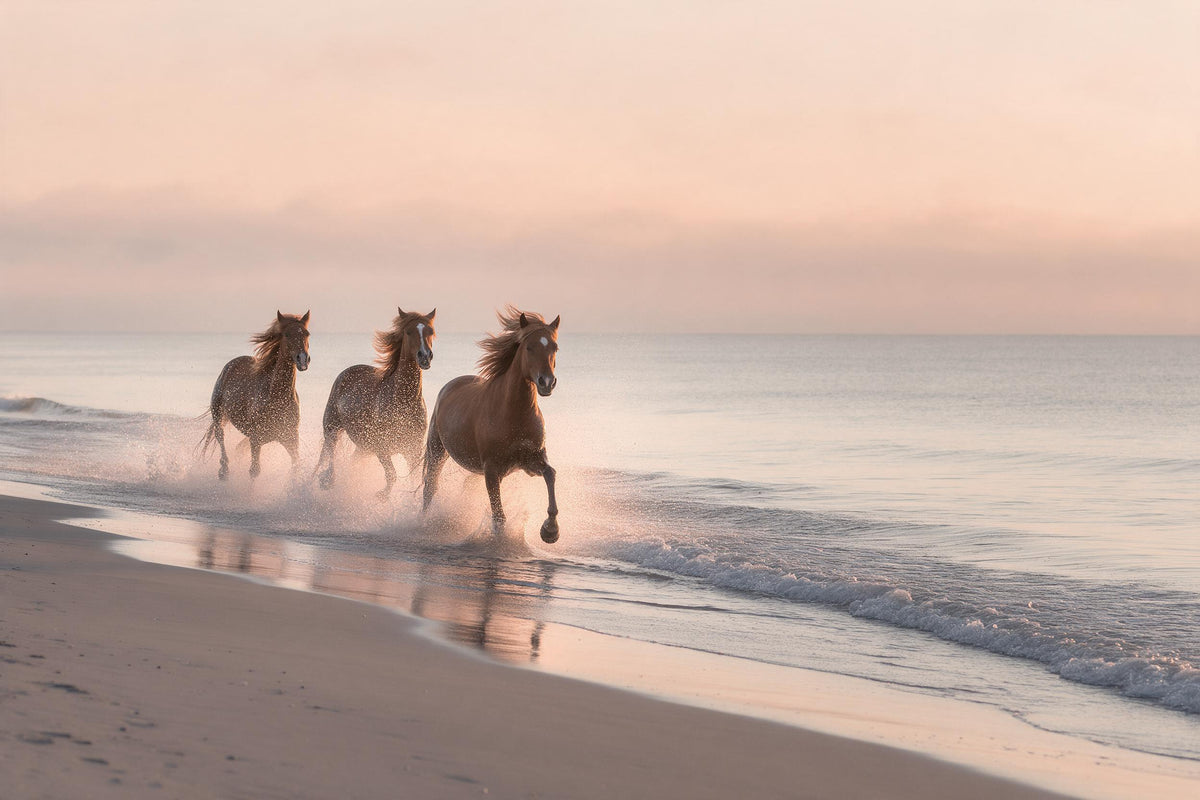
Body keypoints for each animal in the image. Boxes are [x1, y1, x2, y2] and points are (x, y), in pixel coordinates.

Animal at [201, 310, 311, 480]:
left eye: (307, 334)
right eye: (286, 334)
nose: (303, 359)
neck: (277, 396)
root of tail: (232, 363)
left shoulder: (291, 438)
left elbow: (296, 466)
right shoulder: (256, 438)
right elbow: (254, 471)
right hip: (218, 412)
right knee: (220, 435)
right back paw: (223, 470)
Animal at [315, 308, 436, 499]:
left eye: (430, 331)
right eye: (408, 332)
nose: (425, 356)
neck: (403, 400)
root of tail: (346, 371)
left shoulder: (412, 450)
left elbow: (412, 479)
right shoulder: (381, 448)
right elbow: (391, 475)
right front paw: (381, 496)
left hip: (362, 447)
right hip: (332, 428)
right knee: (328, 454)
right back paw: (327, 480)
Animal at [422, 306, 561, 543]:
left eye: (555, 347)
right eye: (529, 347)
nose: (547, 382)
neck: (514, 415)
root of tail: (450, 385)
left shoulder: (530, 461)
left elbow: (550, 474)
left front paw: (550, 530)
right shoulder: (492, 469)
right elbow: (499, 516)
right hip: (437, 451)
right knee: (430, 487)